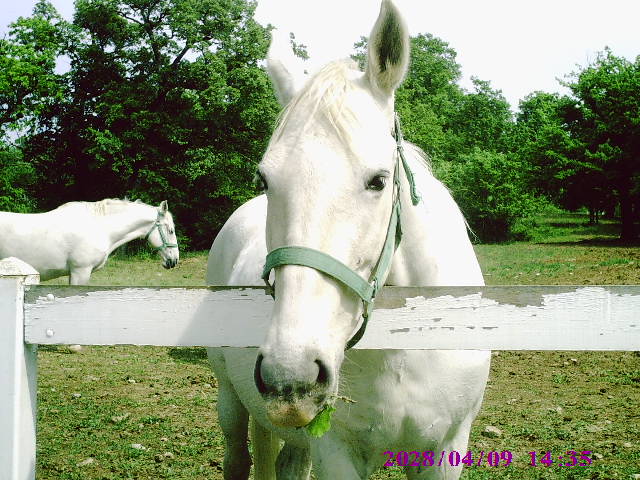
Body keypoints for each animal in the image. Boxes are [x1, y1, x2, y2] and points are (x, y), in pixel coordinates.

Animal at [205, 2, 490, 478]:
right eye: (265, 179)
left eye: (379, 181)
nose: (291, 377)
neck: (403, 347)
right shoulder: (336, 451)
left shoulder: (446, 447)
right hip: (231, 398)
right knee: (238, 457)